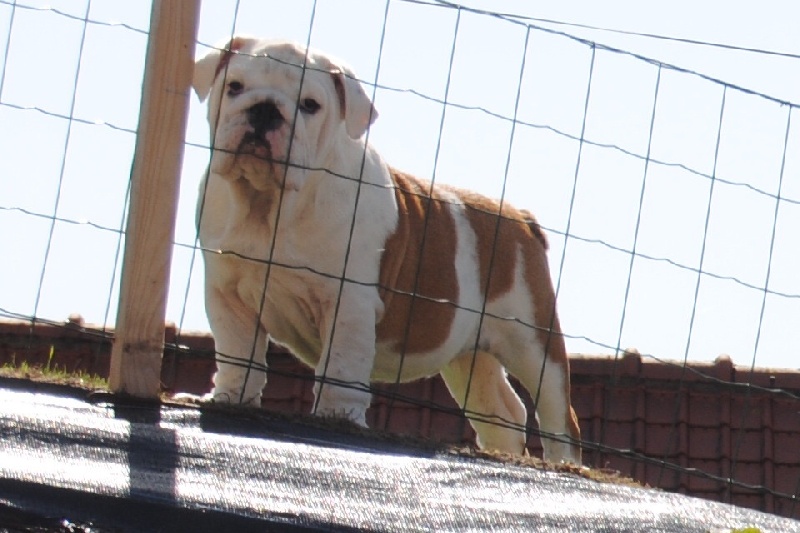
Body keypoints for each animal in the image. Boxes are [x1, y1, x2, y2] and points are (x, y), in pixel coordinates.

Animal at [192, 36, 581, 464]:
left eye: (310, 105)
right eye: (234, 87)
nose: (264, 109)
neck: (269, 204)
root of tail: (521, 217)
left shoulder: (348, 303)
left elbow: (341, 366)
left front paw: (337, 417)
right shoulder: (227, 296)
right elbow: (237, 352)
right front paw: (230, 398)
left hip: (533, 341)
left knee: (558, 414)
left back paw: (564, 464)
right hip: (470, 355)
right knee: (503, 410)